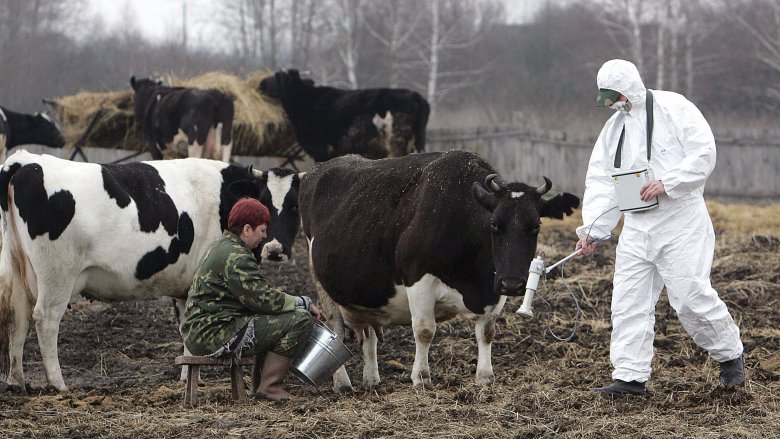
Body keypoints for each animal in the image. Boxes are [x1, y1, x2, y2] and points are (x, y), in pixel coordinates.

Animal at [0, 151, 304, 392]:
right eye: (263, 202)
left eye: (294, 205)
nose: (274, 249)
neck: (222, 196)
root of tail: (27, 161)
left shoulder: (185, 285)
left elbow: (185, 327)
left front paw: (188, 375)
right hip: (57, 275)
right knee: (45, 319)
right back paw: (58, 384)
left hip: (19, 269)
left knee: (19, 317)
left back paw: (17, 381)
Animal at [258, 69, 430, 162]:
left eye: (277, 77)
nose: (260, 83)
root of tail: (415, 95)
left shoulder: (320, 148)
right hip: (417, 143)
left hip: (397, 141)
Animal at [298, 151, 580, 392]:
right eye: (494, 224)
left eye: (536, 225)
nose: (512, 284)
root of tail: (320, 168)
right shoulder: (418, 279)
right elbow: (424, 330)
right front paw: (421, 377)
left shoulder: (493, 287)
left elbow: (487, 332)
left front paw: (485, 376)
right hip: (321, 282)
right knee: (335, 331)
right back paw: (343, 383)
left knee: (368, 336)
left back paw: (372, 380)